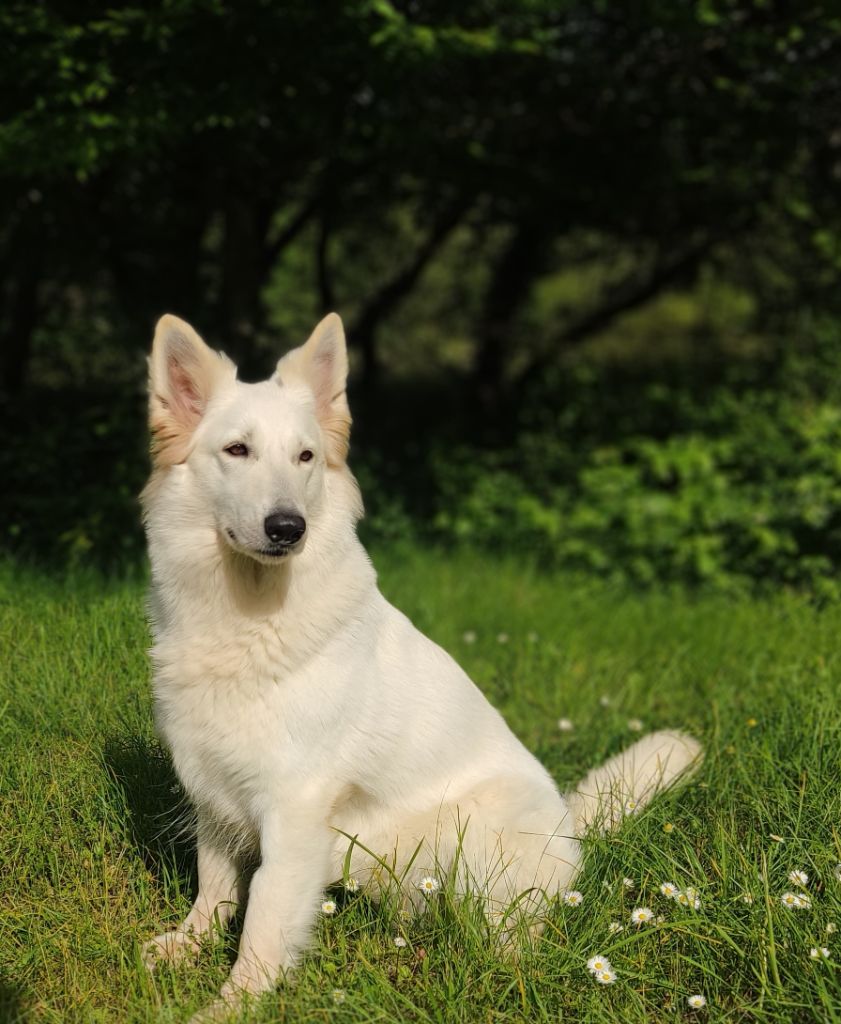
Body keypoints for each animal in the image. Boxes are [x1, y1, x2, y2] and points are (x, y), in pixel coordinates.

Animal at [139, 311, 700, 1015]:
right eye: (237, 451)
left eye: (305, 458)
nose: (288, 528)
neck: (249, 615)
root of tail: (571, 827)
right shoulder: (213, 787)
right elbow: (213, 882)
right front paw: (187, 946)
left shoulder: (292, 807)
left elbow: (265, 912)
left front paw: (233, 1005)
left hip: (479, 831)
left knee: (517, 934)